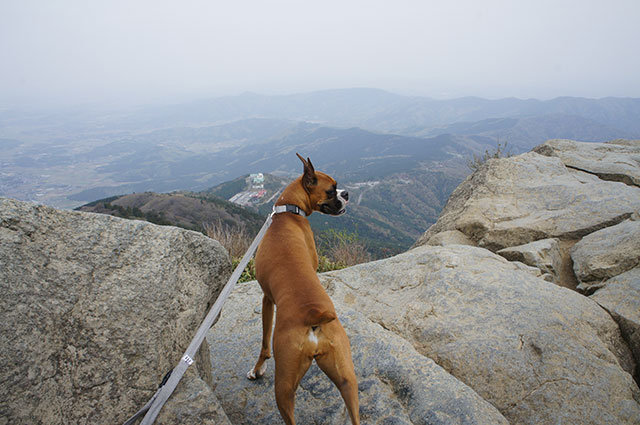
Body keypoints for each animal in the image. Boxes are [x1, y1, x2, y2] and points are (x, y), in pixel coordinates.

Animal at [248, 153, 360, 424]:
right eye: (331, 189)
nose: (346, 193)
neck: (288, 212)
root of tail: (315, 317)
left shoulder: (267, 299)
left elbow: (264, 344)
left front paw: (257, 370)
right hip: (346, 378)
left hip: (284, 386)